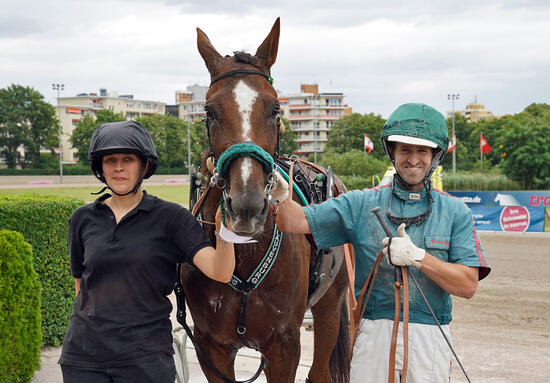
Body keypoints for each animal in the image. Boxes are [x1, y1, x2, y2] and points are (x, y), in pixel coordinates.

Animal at [181, 18, 354, 383]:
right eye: (209, 112)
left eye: (276, 109)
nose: (247, 205)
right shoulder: (211, 348)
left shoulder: (284, 346)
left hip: (330, 305)